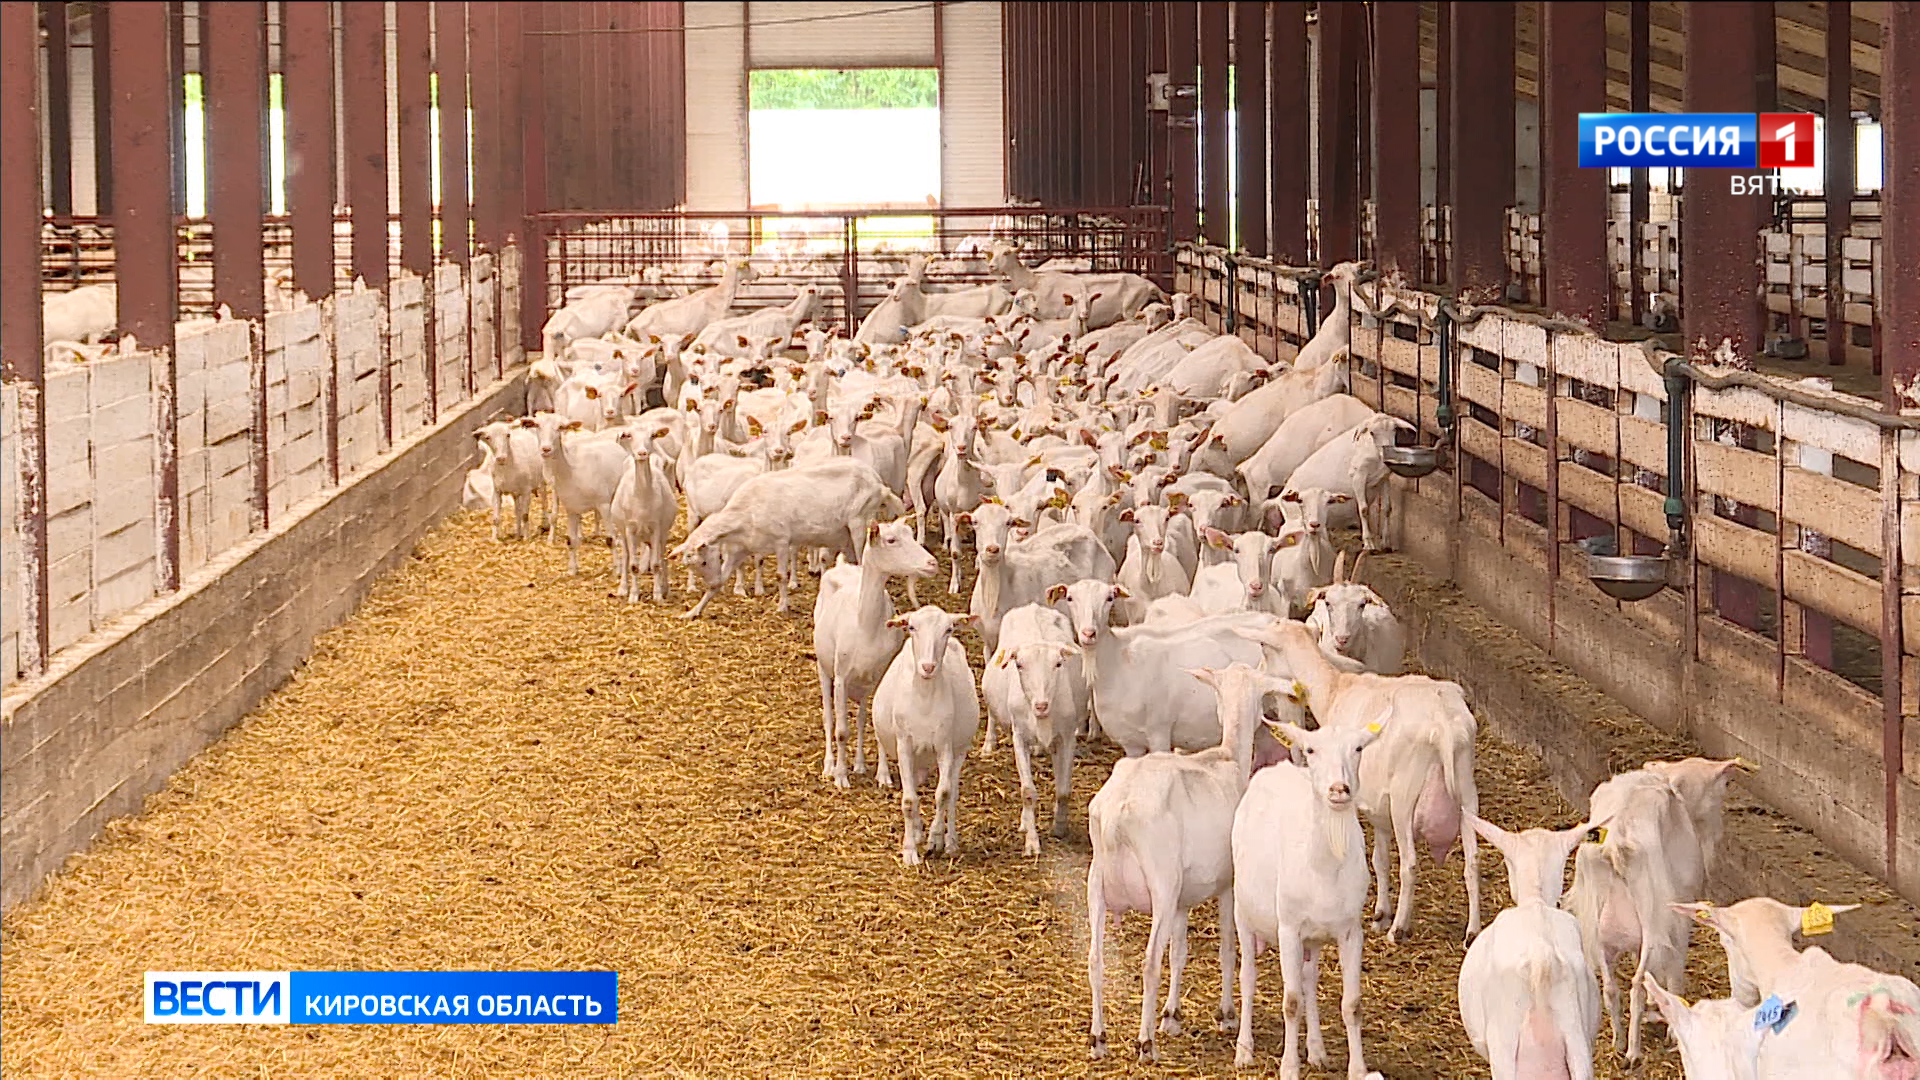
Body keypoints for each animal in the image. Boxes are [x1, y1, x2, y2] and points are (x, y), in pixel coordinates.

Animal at [812, 518, 940, 789]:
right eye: (890, 540)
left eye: (911, 533)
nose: (932, 563)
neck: (865, 628)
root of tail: (841, 565)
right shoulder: (841, 677)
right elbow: (841, 731)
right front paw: (841, 777)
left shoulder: (881, 674)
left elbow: (876, 722)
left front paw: (883, 775)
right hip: (823, 666)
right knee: (828, 717)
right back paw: (829, 766)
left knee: (861, 718)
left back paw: (860, 765)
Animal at [870, 606, 982, 867]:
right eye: (911, 627)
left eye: (948, 629)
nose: (928, 667)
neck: (925, 698)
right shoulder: (904, 746)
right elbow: (909, 801)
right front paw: (910, 850)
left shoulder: (945, 747)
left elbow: (943, 794)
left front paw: (935, 839)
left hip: (959, 750)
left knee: (952, 793)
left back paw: (950, 842)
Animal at [981, 604, 1090, 854]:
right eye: (1019, 665)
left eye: (1058, 664)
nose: (1041, 705)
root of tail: (1033, 606)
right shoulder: (1019, 737)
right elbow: (1028, 792)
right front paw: (1032, 843)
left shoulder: (1067, 736)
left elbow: (1063, 788)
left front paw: (1059, 828)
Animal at [1087, 664, 1294, 1062]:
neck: (1228, 756)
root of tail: (1118, 812)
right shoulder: (1228, 883)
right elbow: (1227, 948)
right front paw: (1226, 1015)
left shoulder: (1183, 900)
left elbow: (1179, 952)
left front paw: (1172, 1016)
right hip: (1161, 884)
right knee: (1149, 961)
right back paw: (1145, 1044)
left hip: (1098, 884)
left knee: (1095, 959)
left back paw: (1098, 1038)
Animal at [1229, 712, 1386, 1076]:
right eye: (1312, 750)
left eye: (1358, 748)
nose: (1339, 789)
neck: (1324, 871)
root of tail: (1274, 768)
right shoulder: (1288, 927)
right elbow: (1290, 1002)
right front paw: (1288, 1069)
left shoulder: (1350, 930)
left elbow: (1352, 1004)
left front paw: (1357, 1070)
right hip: (1242, 911)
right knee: (1248, 975)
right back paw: (1244, 1051)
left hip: (1312, 939)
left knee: (1309, 980)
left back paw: (1316, 1050)